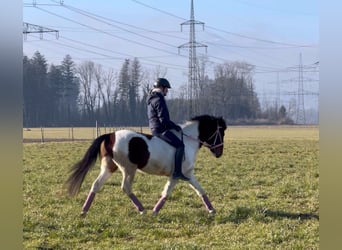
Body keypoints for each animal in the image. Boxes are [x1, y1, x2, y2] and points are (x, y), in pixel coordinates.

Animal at [66, 114, 228, 216]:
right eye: (221, 132)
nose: (219, 153)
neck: (188, 140)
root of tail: (110, 135)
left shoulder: (188, 174)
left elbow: (200, 190)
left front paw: (212, 210)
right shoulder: (178, 175)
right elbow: (167, 192)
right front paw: (155, 211)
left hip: (109, 167)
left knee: (96, 185)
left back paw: (84, 211)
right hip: (128, 169)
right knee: (126, 187)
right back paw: (142, 210)